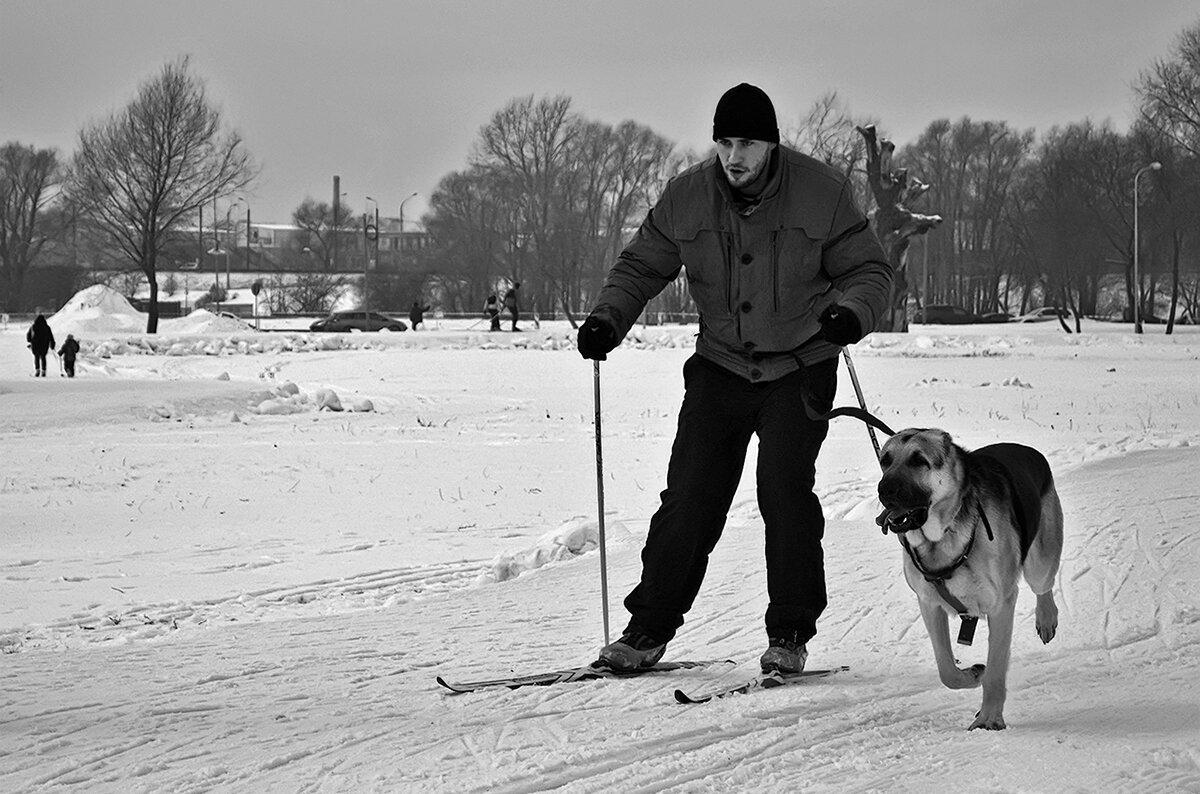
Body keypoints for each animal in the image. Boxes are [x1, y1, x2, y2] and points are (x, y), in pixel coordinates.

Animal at [878, 431, 1065, 729]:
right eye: (885, 460)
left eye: (919, 460)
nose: (884, 490)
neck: (944, 535)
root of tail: (1028, 450)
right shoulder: (929, 604)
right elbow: (946, 670)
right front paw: (973, 674)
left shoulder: (1001, 605)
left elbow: (996, 671)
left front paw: (990, 718)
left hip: (1040, 562)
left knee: (1043, 586)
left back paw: (1046, 618)